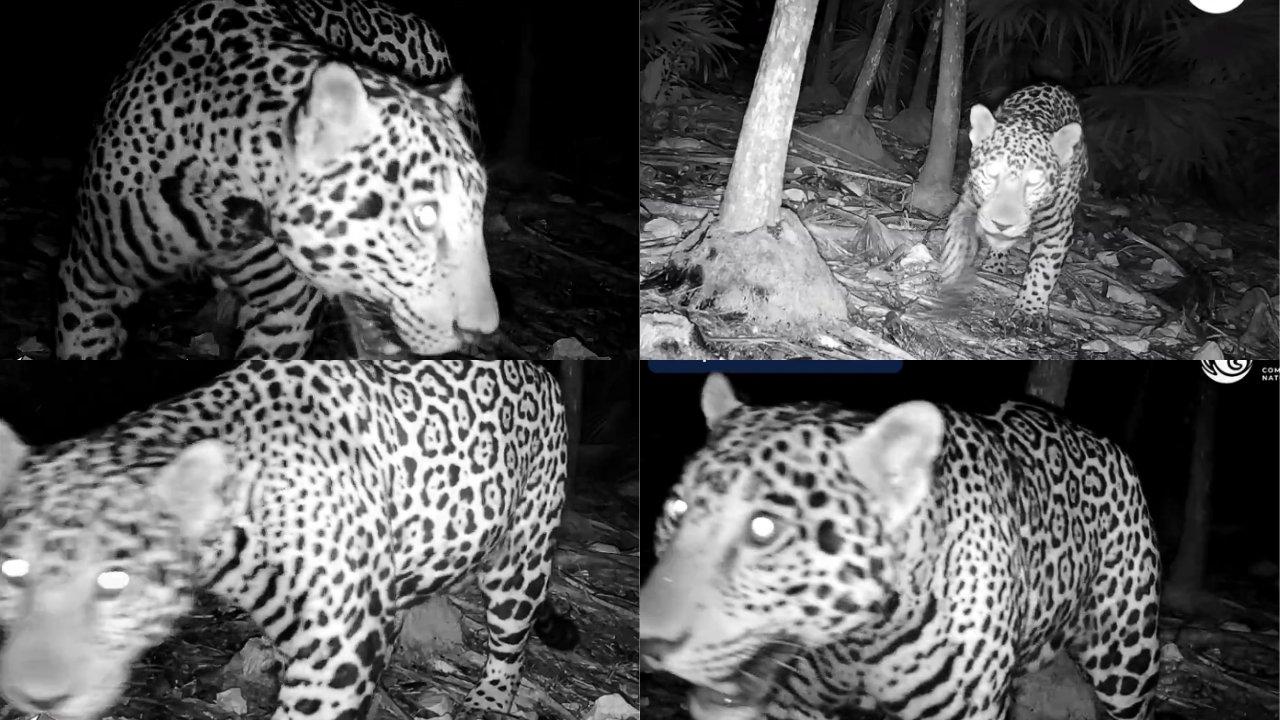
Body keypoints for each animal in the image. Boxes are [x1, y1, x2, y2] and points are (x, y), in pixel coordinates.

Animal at [0, 360, 578, 720]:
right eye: (13, 572)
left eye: (113, 581)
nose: (37, 694)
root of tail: (543, 373)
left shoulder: (335, 647)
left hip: (521, 558)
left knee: (512, 640)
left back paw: (488, 700)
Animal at [640, 373, 1162, 720]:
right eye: (677, 509)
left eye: (764, 529)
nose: (649, 641)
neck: (859, 644)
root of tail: (1103, 440)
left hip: (1127, 653)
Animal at [937, 83, 1088, 327]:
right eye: (991, 172)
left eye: (1034, 180)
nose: (1002, 225)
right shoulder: (968, 203)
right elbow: (959, 238)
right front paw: (952, 270)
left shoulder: (1058, 227)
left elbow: (1044, 268)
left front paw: (1031, 310)